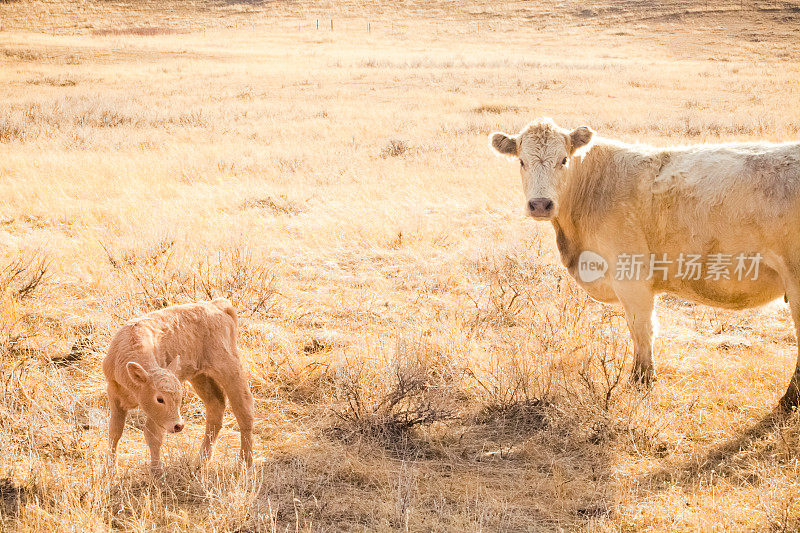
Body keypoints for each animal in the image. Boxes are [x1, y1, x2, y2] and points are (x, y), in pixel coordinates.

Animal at [103, 298, 253, 472]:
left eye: (179, 398)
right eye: (160, 399)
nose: (178, 426)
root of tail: (217, 304)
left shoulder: (155, 416)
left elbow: (152, 435)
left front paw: (156, 471)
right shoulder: (113, 393)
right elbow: (115, 431)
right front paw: (109, 469)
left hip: (229, 367)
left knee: (243, 409)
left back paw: (245, 464)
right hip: (200, 376)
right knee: (216, 406)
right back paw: (201, 461)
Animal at [488, 117, 800, 408]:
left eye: (563, 160)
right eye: (522, 161)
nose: (540, 204)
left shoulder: (631, 278)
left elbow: (641, 329)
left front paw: (641, 381)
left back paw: (790, 399)